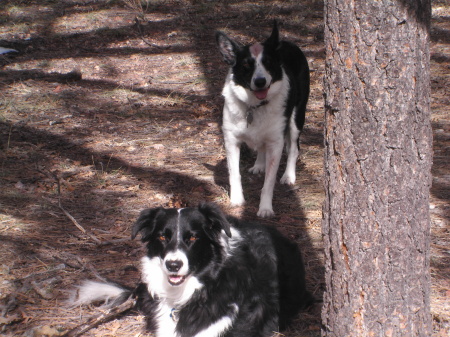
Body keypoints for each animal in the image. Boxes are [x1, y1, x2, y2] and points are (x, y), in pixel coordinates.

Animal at [215, 21, 310, 217]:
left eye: (268, 63)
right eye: (246, 65)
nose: (260, 81)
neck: (254, 106)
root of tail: (287, 42)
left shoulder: (276, 142)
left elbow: (269, 183)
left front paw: (265, 208)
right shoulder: (231, 140)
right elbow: (234, 174)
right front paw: (236, 200)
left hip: (296, 118)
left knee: (294, 148)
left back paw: (289, 175)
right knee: (261, 146)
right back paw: (259, 164)